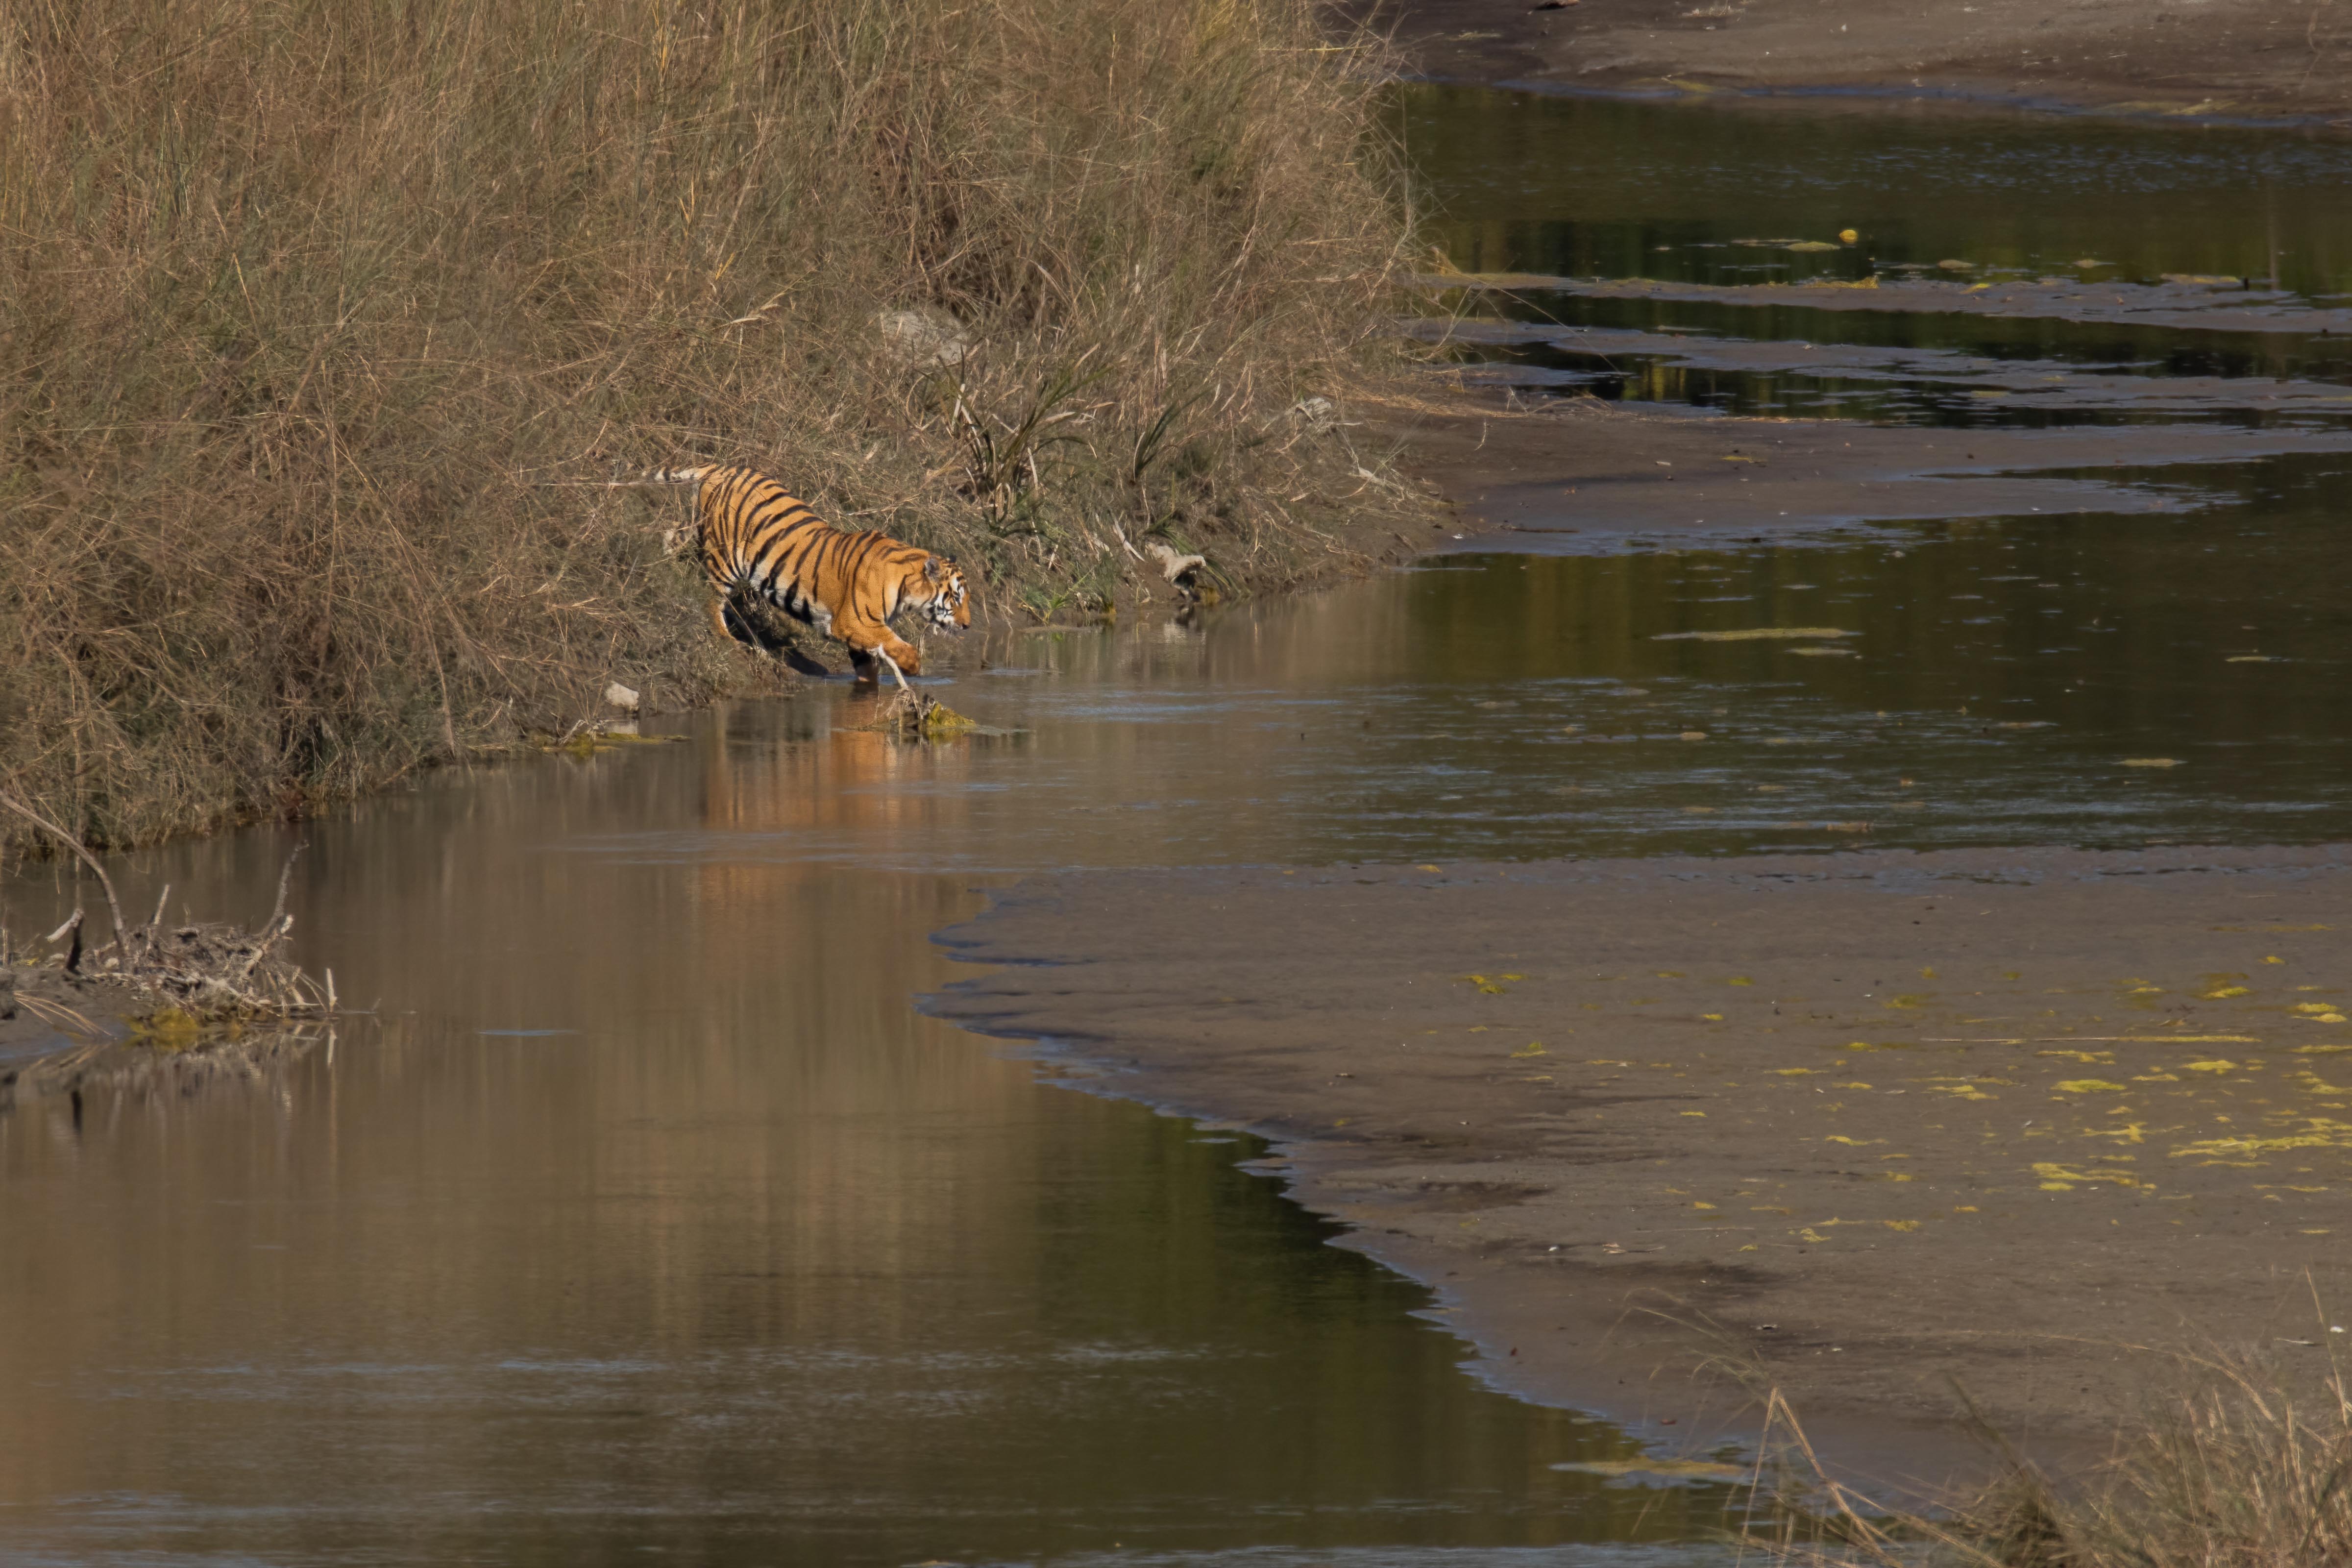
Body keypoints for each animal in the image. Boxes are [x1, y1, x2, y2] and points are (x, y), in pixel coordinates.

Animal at [619, 463, 970, 688]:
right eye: (956, 598)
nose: (968, 626)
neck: (905, 590)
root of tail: (720, 468)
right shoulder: (855, 622)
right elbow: (895, 644)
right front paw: (914, 666)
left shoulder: (859, 633)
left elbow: (867, 667)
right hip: (724, 557)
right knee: (711, 599)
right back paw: (727, 638)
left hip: (696, 526)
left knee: (671, 533)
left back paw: (659, 563)